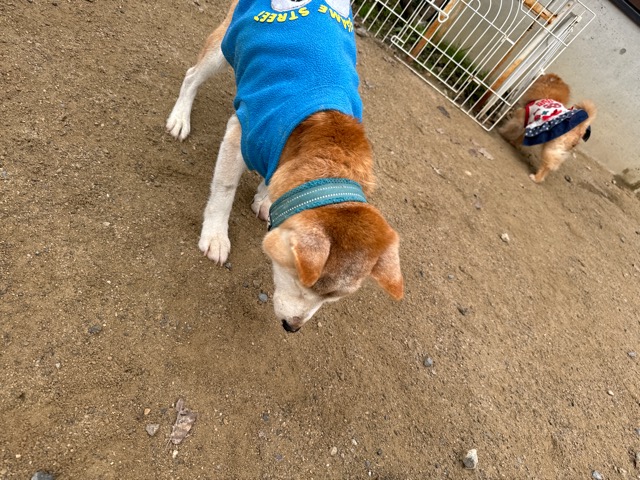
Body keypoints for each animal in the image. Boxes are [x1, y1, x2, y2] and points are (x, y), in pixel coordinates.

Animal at [166, 0, 404, 332]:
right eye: (301, 280)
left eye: (332, 298)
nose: (293, 327)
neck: (328, 132)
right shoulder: (242, 131)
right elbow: (224, 191)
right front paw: (215, 236)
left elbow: (273, 177)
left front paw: (265, 198)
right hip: (225, 45)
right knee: (192, 75)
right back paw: (180, 117)